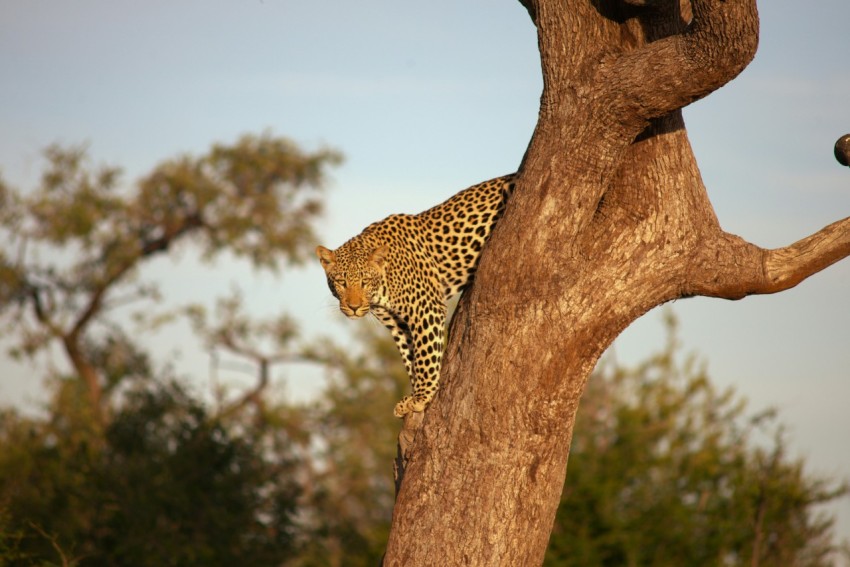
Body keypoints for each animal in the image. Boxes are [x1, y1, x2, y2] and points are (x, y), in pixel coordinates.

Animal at [316, 174, 516, 417]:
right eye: (341, 282)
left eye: (365, 281)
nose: (353, 307)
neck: (383, 285)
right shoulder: (397, 323)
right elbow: (410, 355)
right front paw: (412, 396)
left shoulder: (425, 308)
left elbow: (425, 355)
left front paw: (422, 396)